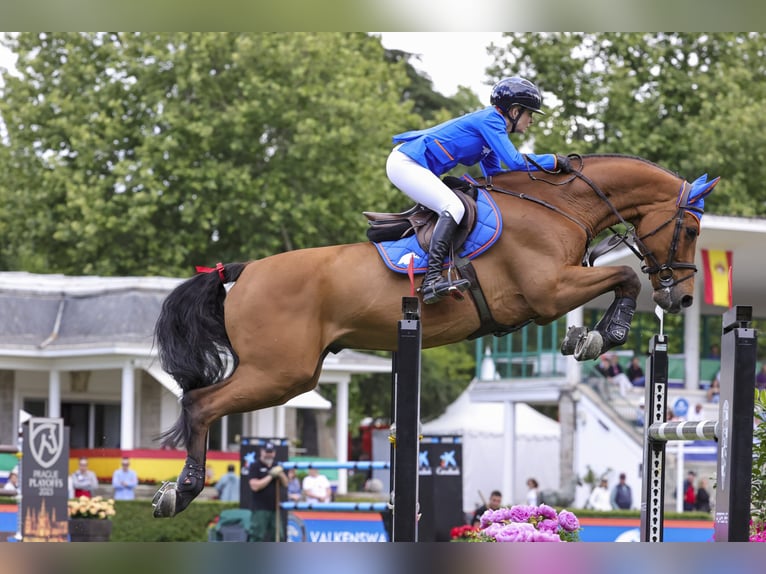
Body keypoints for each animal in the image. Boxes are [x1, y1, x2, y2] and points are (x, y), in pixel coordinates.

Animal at [151, 153, 719, 517]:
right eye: (690, 230)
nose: (682, 301)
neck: (558, 207)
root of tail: (241, 272)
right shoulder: (549, 291)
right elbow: (624, 276)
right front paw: (605, 334)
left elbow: (617, 279)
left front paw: (588, 337)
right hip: (281, 373)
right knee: (200, 404)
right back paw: (180, 493)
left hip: (290, 372)